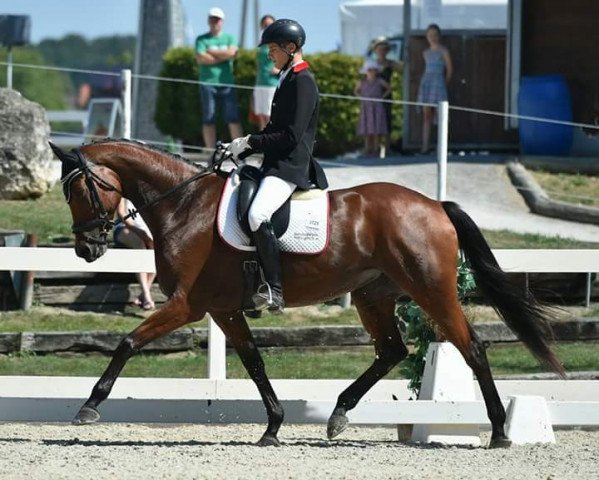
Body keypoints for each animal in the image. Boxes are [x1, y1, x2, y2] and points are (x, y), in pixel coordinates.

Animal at [49, 141, 564, 448]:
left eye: (79, 190)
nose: (86, 248)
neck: (184, 205)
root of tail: (434, 205)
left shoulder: (187, 305)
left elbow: (127, 342)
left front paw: (89, 407)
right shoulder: (224, 309)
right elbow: (255, 364)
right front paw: (273, 426)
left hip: (431, 291)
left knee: (471, 346)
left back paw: (499, 431)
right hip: (373, 295)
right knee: (391, 350)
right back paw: (337, 415)